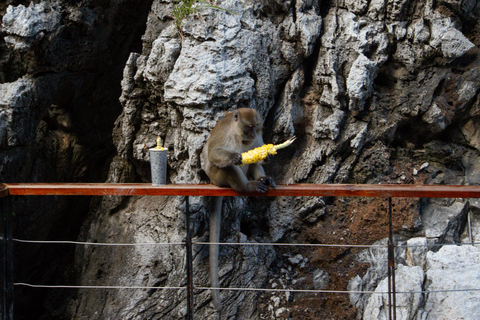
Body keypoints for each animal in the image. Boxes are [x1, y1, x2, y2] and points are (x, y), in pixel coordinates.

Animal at [200, 107, 274, 310]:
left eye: (255, 127)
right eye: (248, 127)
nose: (251, 134)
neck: (237, 134)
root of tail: (212, 182)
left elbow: (258, 152)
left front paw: (267, 155)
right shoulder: (224, 133)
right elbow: (214, 153)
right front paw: (233, 157)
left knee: (252, 161)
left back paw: (263, 180)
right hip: (218, 178)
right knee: (229, 168)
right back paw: (246, 187)